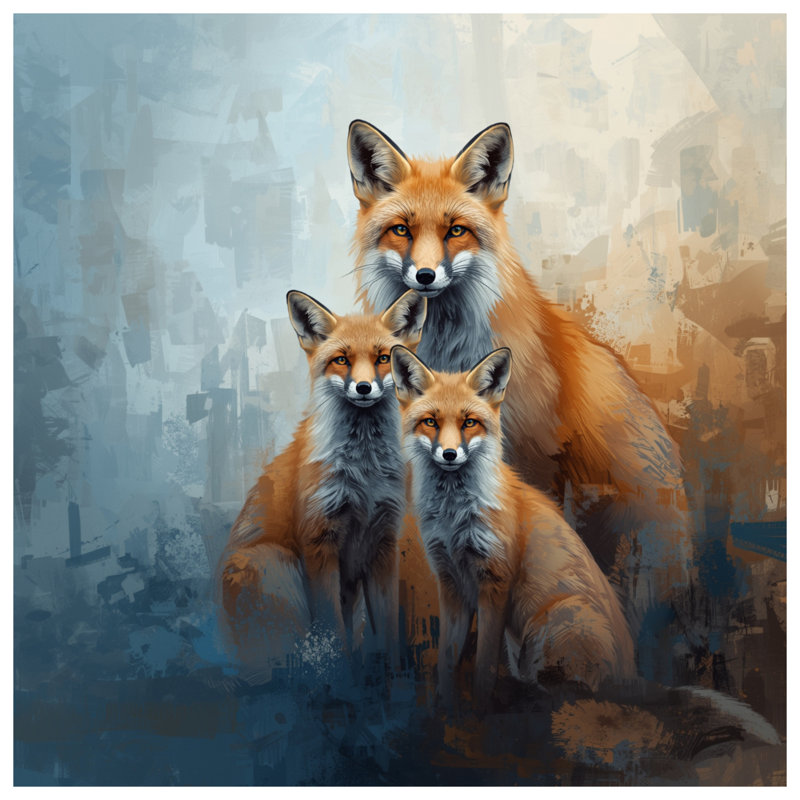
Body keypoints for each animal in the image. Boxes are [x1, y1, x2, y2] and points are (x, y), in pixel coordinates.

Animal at [219, 289, 427, 678]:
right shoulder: (319, 541)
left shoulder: (383, 545)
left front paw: (393, 681)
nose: (364, 387)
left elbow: (388, 631)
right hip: (275, 564)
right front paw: (343, 681)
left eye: (382, 358)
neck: (364, 475)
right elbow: (333, 635)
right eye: (341, 360)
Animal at [390, 344, 636, 710]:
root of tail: (631, 673)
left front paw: (480, 709)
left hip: (553, 624)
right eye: (430, 422)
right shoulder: (450, 583)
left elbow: (484, 666)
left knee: (574, 692)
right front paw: (445, 707)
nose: (449, 454)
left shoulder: (495, 582)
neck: (453, 518)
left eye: (469, 423)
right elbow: (448, 659)